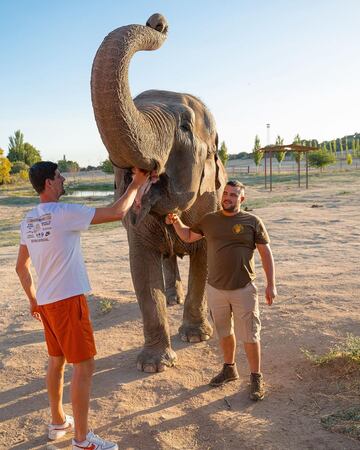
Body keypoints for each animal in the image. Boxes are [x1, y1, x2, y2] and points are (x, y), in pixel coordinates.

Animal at [90, 14, 225, 372]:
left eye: (185, 127)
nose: (158, 22)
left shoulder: (209, 203)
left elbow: (203, 259)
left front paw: (195, 336)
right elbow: (141, 269)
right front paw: (152, 365)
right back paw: (172, 297)